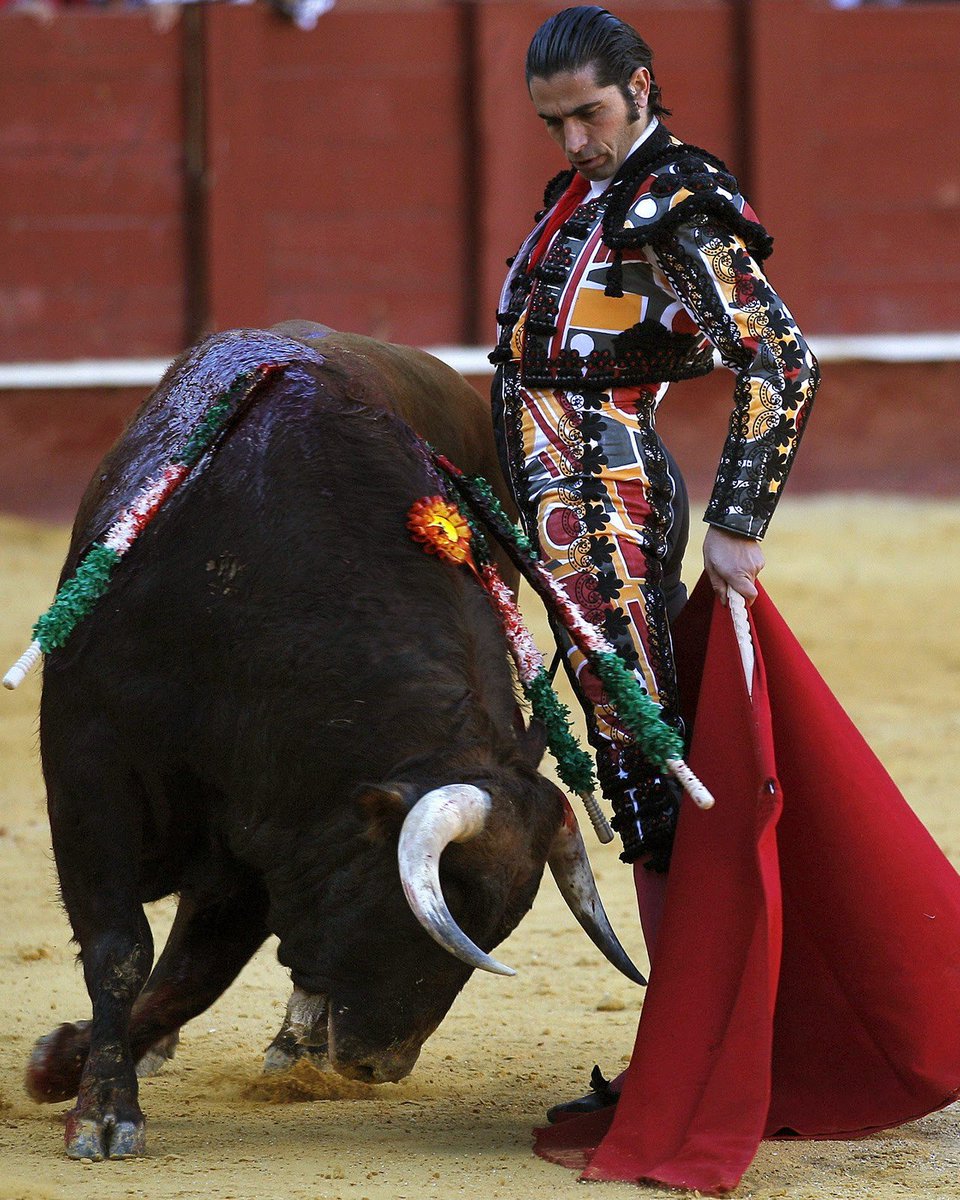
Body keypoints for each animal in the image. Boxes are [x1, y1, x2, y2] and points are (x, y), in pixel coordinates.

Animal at [24, 321, 638, 1161]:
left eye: (500, 926)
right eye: (419, 904)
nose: (381, 1065)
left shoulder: (268, 836)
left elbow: (191, 975)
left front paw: (65, 1061)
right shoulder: (91, 770)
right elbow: (122, 951)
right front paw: (100, 1109)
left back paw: (296, 1042)